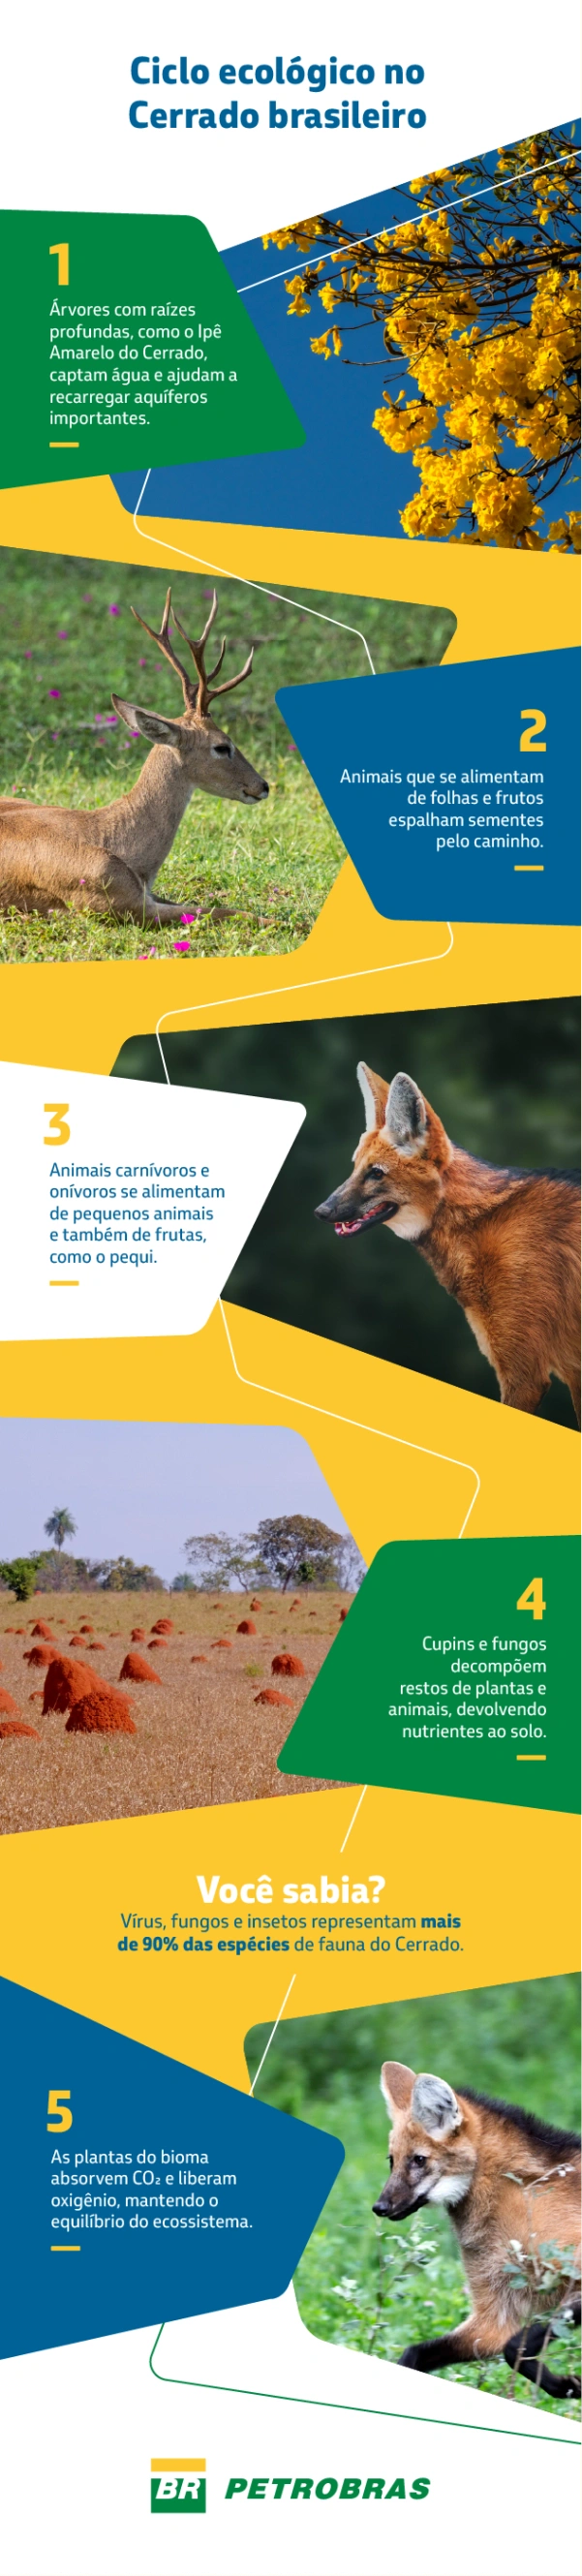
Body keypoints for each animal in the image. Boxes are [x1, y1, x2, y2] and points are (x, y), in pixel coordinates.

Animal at [374, 2058, 582, 2395]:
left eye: (419, 2160)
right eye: (392, 2161)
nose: (379, 2208)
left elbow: (515, 2347)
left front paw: (564, 2385)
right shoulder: (494, 2316)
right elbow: (414, 2354)